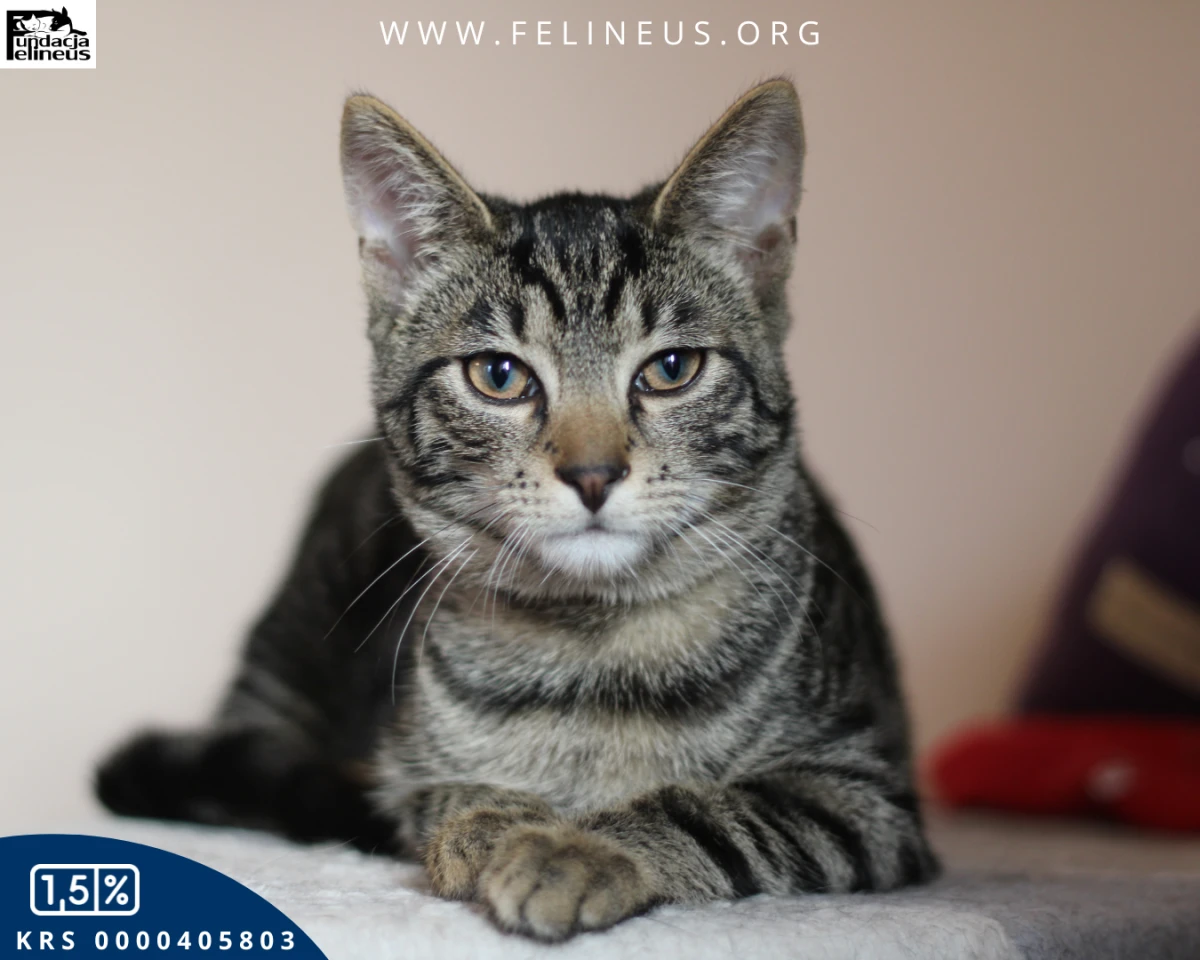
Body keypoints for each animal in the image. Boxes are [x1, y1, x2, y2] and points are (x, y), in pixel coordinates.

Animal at [96, 78, 938, 941]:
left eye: (671, 368)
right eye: (499, 376)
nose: (593, 472)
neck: (590, 650)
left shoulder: (866, 798)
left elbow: (719, 811)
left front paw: (578, 849)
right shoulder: (401, 770)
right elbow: (438, 796)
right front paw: (492, 822)